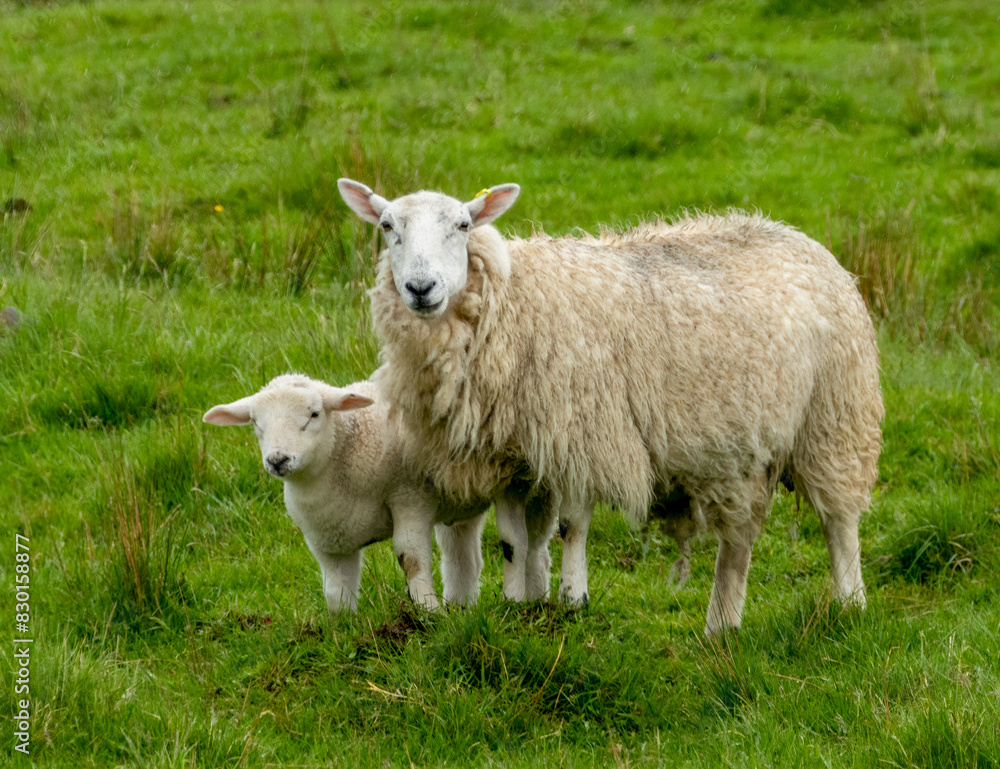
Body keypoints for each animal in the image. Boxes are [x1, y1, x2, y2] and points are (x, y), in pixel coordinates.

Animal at [203, 374, 493, 612]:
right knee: (462, 555)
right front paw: (343, 630)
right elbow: (335, 590)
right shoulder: (327, 538)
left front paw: (428, 613)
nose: (277, 460)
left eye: (314, 414)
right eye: (255, 421)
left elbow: (410, 558)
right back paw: (461, 607)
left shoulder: (410, 497)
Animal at [338, 179, 884, 635]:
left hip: (835, 419)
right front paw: (517, 602)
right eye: (387, 227)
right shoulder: (513, 452)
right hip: (746, 450)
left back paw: (849, 603)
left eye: (463, 226)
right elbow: (513, 538)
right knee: (739, 541)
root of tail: (799, 237)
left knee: (839, 523)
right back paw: (722, 626)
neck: (513, 302)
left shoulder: (587, 429)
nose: (420, 288)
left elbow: (572, 526)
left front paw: (572, 596)